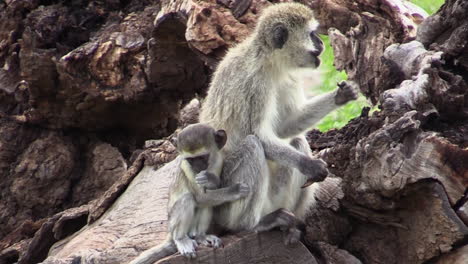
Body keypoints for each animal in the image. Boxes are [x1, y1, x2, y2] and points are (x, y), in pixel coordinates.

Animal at [129, 124, 249, 264]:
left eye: (202, 157)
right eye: (191, 160)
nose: (197, 167)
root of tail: (170, 233)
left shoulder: (219, 160)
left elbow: (209, 191)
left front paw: (211, 178)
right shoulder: (186, 166)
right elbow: (201, 197)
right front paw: (235, 190)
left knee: (206, 205)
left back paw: (201, 236)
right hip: (173, 224)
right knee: (188, 199)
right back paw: (181, 239)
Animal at [200, 1, 358, 237]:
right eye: (312, 34)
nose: (322, 43)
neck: (269, 59)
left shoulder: (288, 78)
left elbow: (284, 127)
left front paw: (342, 95)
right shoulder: (257, 84)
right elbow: (259, 134)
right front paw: (310, 165)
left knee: (297, 140)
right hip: (224, 201)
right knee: (252, 146)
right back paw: (252, 225)